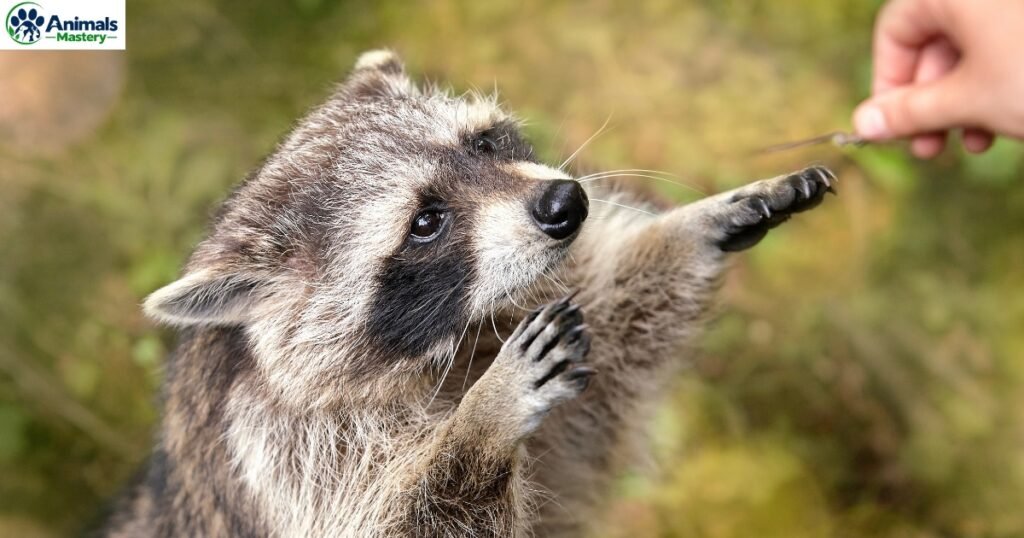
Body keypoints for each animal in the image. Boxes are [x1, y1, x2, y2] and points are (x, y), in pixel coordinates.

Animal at [101, 50, 835, 537]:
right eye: (425, 222)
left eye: (482, 142)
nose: (567, 203)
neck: (458, 339)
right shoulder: (278, 447)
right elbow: (405, 518)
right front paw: (480, 423)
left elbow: (615, 341)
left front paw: (689, 228)